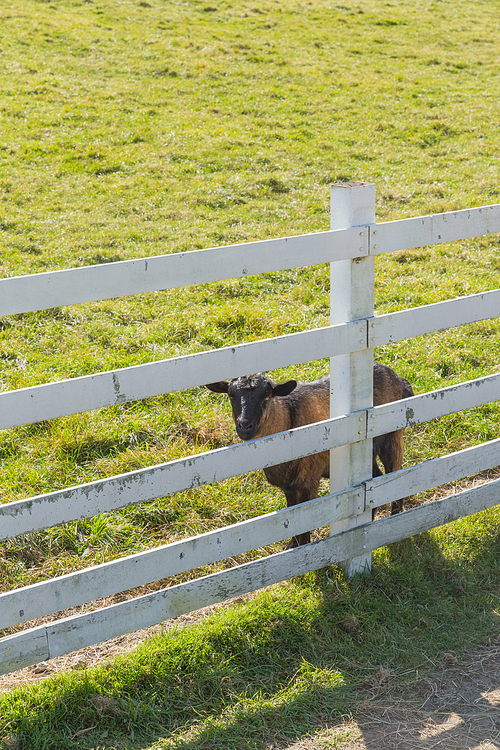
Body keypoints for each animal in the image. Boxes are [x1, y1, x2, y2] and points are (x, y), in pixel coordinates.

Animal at [207, 368, 414, 548]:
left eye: (266, 397)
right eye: (231, 395)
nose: (245, 426)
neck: (287, 420)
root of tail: (397, 378)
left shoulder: (308, 481)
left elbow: (305, 520)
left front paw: (304, 548)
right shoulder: (289, 486)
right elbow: (294, 517)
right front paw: (293, 546)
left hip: (392, 436)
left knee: (395, 475)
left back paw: (395, 519)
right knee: (375, 477)